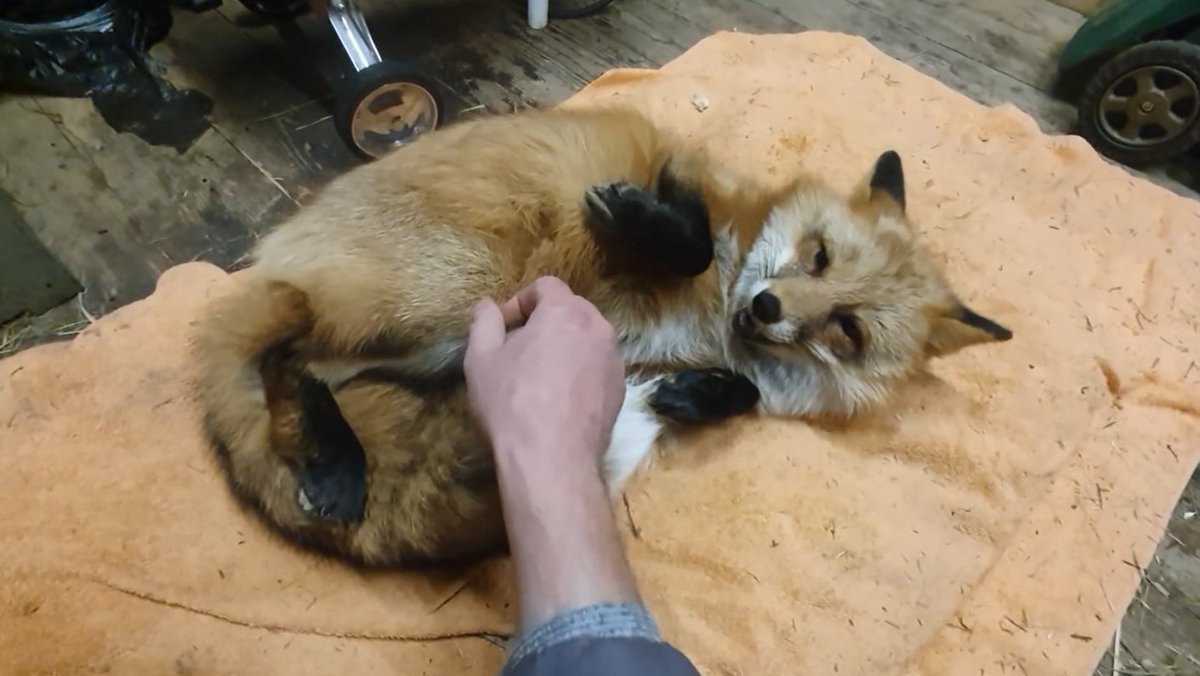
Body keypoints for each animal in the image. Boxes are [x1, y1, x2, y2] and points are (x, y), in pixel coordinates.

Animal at [192, 106, 1012, 567]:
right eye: (819, 256)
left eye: (847, 328)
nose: (769, 305)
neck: (717, 314)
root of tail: (269, 259)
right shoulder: (679, 173)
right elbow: (687, 237)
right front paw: (646, 220)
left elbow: (737, 389)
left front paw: (699, 395)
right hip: (449, 299)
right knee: (289, 355)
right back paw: (334, 461)